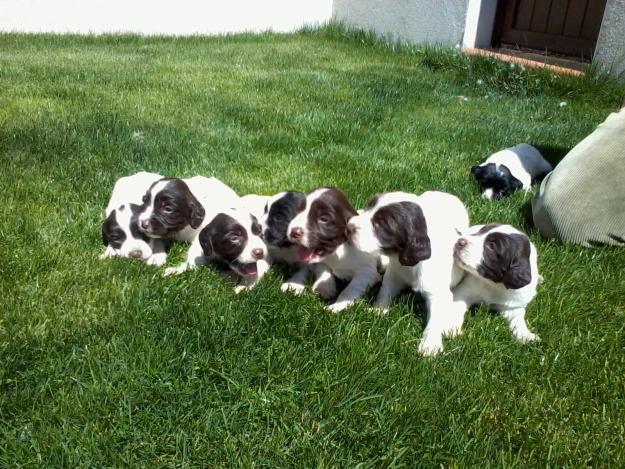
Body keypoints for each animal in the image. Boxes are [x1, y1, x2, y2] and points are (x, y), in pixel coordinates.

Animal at [346, 190, 468, 354]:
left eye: (381, 224)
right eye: (368, 206)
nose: (348, 226)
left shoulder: (437, 292)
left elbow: (436, 318)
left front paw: (430, 345)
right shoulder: (394, 273)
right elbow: (385, 291)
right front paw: (378, 310)